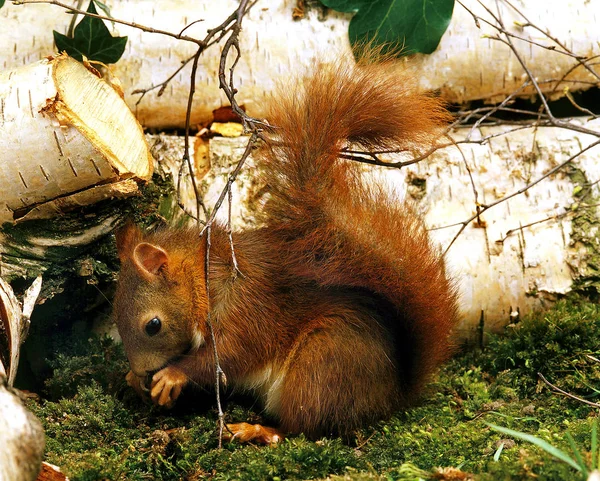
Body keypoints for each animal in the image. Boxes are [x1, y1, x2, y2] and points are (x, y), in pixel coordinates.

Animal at [113, 55, 460, 442]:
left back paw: (255, 429)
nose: (142, 372)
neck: (204, 277)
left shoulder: (247, 308)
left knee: (300, 427)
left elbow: (227, 357)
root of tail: (392, 397)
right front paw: (133, 379)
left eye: (153, 325)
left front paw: (172, 375)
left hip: (319, 364)